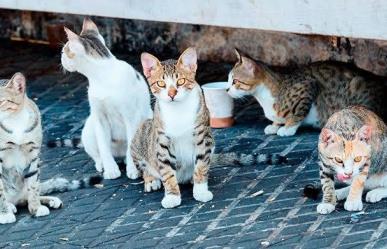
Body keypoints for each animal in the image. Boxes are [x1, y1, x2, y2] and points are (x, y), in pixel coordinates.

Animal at [0, 72, 102, 224]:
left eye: (1, 101)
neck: (15, 122)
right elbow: (0, 192)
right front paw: (5, 213)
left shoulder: (33, 155)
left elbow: (33, 186)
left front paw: (36, 208)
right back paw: (10, 206)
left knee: (25, 197)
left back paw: (49, 200)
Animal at [132, 47, 214, 208]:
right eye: (161, 83)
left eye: (180, 81)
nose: (171, 94)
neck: (178, 110)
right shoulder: (162, 141)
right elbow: (167, 171)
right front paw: (172, 196)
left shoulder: (202, 136)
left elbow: (201, 165)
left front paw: (201, 190)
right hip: (141, 133)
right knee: (144, 166)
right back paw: (151, 179)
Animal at [229, 48, 386, 136]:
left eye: (235, 81)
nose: (227, 89)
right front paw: (275, 125)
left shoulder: (308, 87)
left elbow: (298, 113)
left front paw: (288, 129)